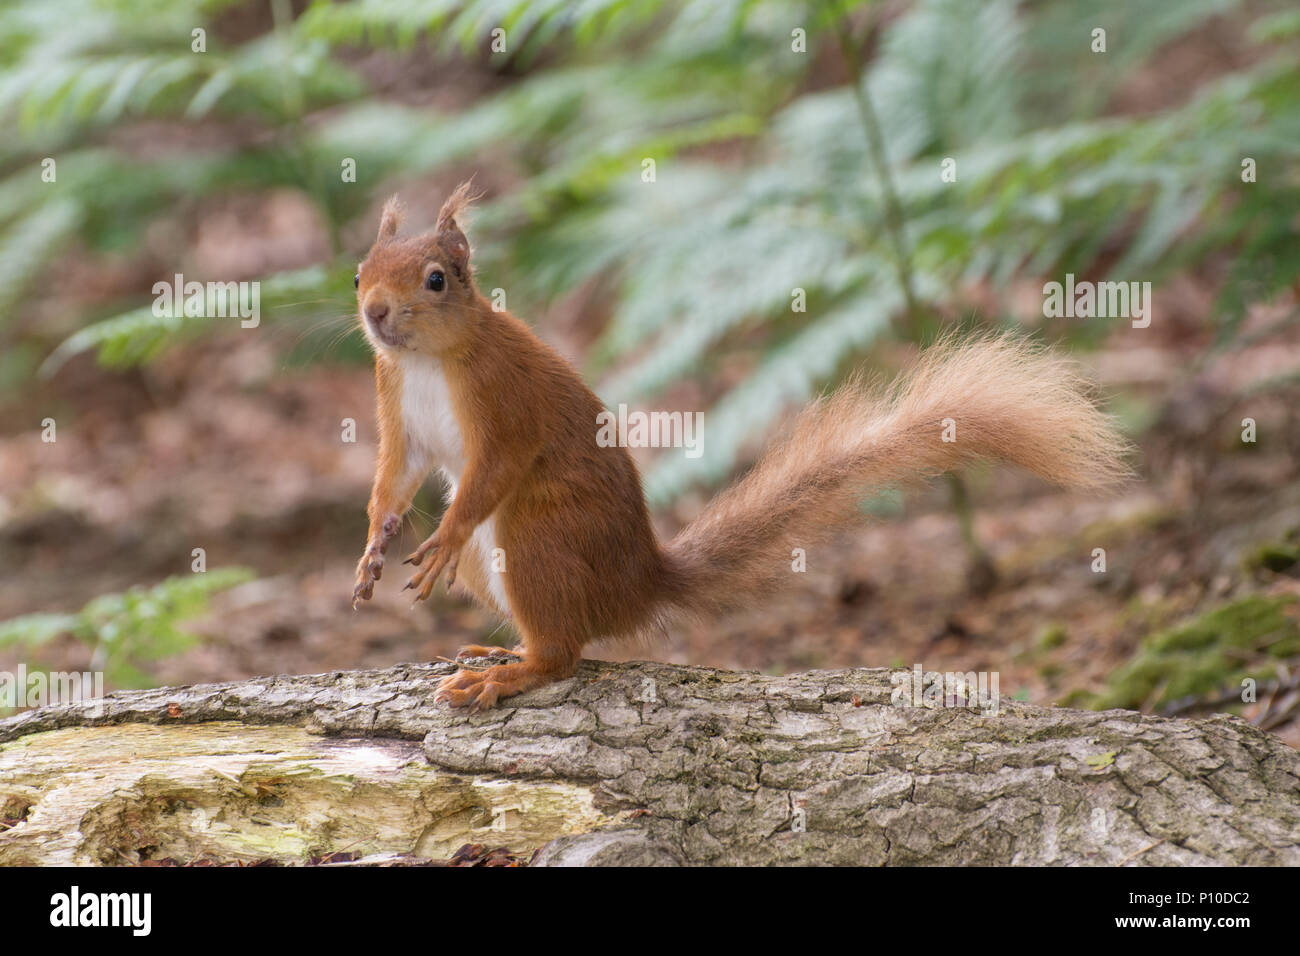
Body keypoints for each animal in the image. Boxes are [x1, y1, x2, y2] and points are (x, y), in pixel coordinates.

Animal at [351, 182, 1129, 710]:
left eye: (436, 279)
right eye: (359, 272)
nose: (375, 313)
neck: (428, 360)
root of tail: (637, 582)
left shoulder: (504, 399)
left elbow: (498, 466)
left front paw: (443, 538)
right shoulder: (394, 401)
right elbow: (395, 476)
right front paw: (372, 550)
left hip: (538, 538)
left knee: (564, 656)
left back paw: (507, 673)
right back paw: (502, 648)